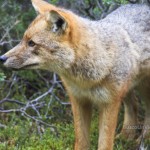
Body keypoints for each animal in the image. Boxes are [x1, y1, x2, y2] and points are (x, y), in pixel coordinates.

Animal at [0, 0, 150, 149]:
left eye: (31, 43)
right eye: (23, 40)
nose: (2, 58)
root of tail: (142, 5)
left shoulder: (109, 103)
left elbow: (105, 143)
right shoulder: (78, 100)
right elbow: (81, 140)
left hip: (142, 88)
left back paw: (144, 139)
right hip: (127, 89)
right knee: (134, 105)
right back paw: (127, 138)